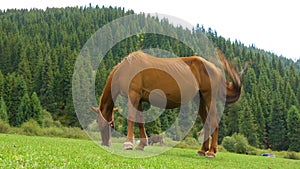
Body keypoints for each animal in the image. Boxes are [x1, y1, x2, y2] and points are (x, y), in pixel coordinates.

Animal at [90, 49, 245, 158]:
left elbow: (131, 118)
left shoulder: (133, 94)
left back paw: (212, 152)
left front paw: (128, 144)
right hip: (200, 100)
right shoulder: (139, 99)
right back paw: (202, 150)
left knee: (213, 121)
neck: (127, 68)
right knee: (206, 122)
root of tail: (216, 69)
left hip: (209, 97)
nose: (105, 143)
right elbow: (140, 121)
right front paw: (141, 145)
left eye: (101, 123)